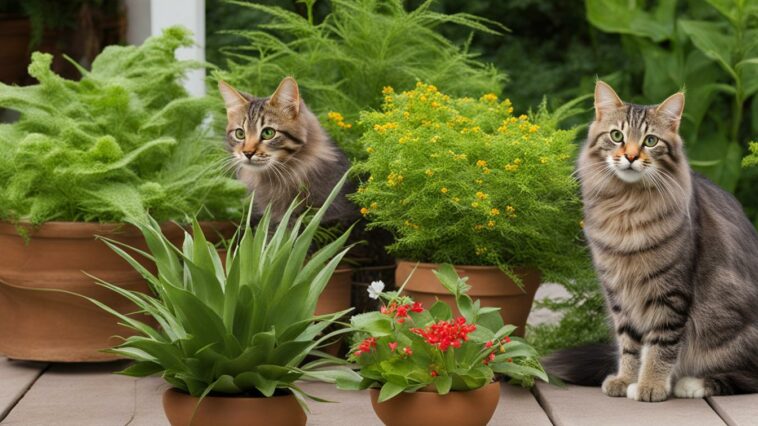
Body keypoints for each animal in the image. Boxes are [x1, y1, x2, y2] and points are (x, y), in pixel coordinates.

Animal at [548, 80, 758, 402]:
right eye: (617, 136)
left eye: (650, 141)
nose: (631, 157)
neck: (626, 206)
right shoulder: (620, 292)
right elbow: (630, 344)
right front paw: (625, 380)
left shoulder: (670, 292)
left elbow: (660, 345)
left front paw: (650, 385)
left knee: (749, 377)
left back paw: (691, 383)